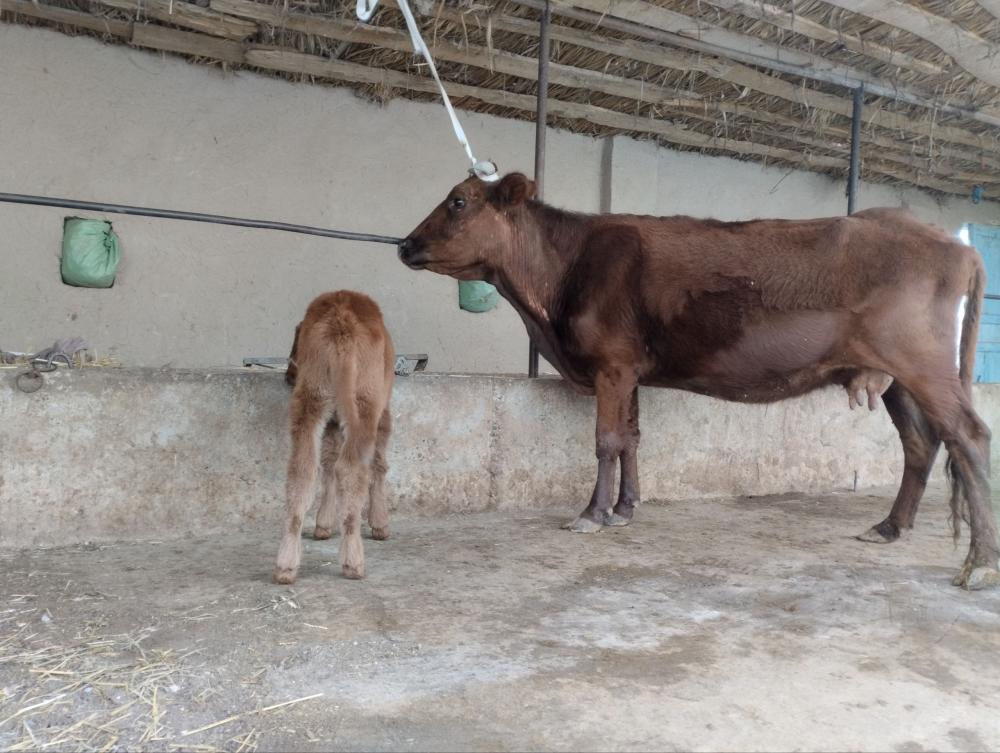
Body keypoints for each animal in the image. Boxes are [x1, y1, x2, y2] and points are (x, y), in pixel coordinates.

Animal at [273, 291, 395, 583]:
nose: (288, 376)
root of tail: (342, 324)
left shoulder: (330, 421)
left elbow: (327, 461)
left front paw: (323, 524)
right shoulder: (382, 410)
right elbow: (379, 464)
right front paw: (380, 524)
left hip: (311, 399)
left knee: (303, 471)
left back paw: (286, 564)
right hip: (365, 402)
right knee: (352, 470)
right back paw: (353, 560)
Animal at [397, 172, 998, 590]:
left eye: (458, 201)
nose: (403, 244)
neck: (554, 289)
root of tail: (956, 243)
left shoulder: (611, 365)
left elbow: (606, 441)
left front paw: (592, 515)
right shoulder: (629, 371)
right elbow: (632, 439)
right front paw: (624, 509)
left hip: (923, 363)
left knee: (968, 436)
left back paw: (980, 563)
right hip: (897, 378)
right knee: (921, 444)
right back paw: (890, 527)